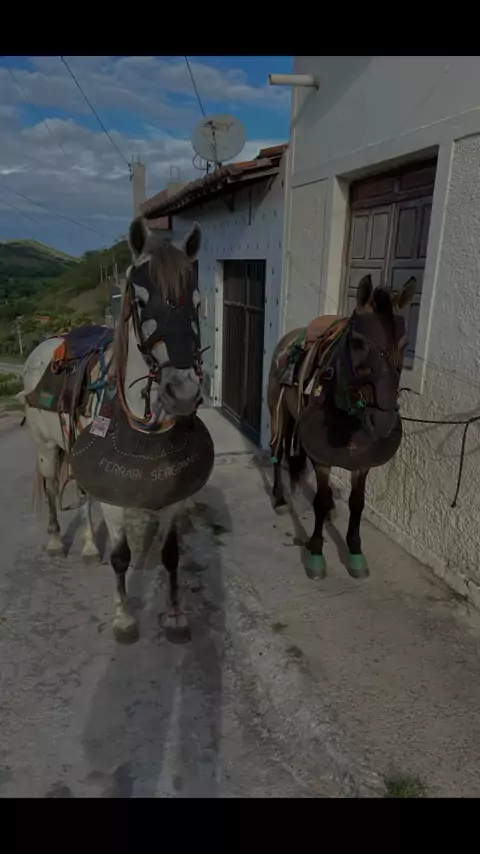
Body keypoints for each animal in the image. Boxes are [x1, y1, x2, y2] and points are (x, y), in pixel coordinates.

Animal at [21, 216, 210, 645]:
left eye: (197, 301)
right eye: (139, 302)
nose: (182, 391)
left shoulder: (173, 496)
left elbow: (171, 555)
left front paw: (176, 617)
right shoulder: (115, 497)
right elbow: (122, 557)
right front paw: (124, 618)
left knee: (83, 495)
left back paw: (91, 548)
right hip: (46, 448)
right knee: (54, 490)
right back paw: (56, 541)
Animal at [267, 273, 417, 580]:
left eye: (405, 343)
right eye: (358, 341)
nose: (384, 421)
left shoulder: (362, 461)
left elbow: (357, 503)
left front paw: (355, 552)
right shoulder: (323, 457)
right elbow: (321, 500)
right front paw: (315, 553)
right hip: (279, 413)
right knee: (277, 449)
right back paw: (279, 499)